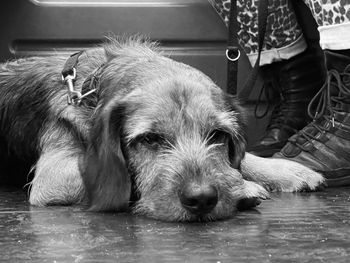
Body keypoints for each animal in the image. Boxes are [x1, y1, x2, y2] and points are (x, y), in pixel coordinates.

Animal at [0, 37, 322, 223]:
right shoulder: (52, 179)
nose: (202, 198)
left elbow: (244, 158)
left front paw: (283, 170)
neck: (91, 88)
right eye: (150, 139)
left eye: (217, 135)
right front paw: (242, 186)